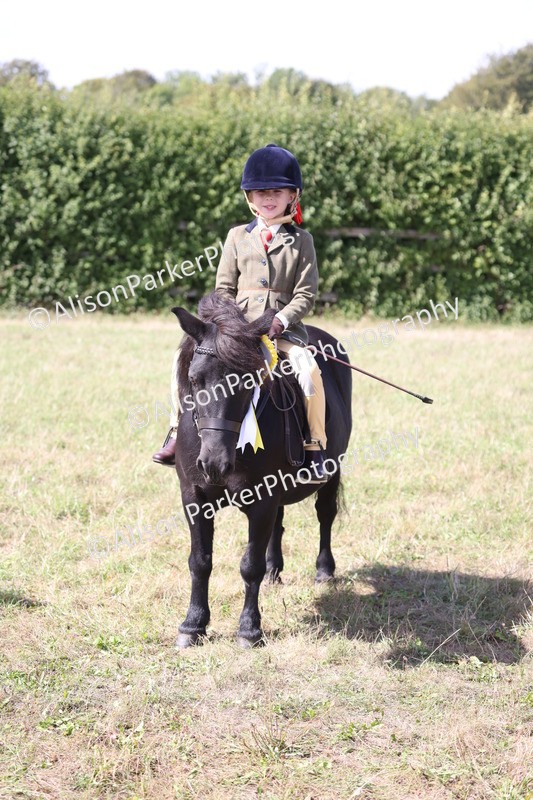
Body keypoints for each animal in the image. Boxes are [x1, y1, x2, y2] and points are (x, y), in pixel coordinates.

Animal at [171, 292, 352, 648]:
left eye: (246, 381)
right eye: (195, 379)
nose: (214, 463)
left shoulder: (262, 499)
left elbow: (249, 565)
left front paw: (249, 629)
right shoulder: (194, 498)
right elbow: (200, 561)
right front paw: (192, 625)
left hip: (332, 468)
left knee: (325, 515)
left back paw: (324, 571)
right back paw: (274, 570)